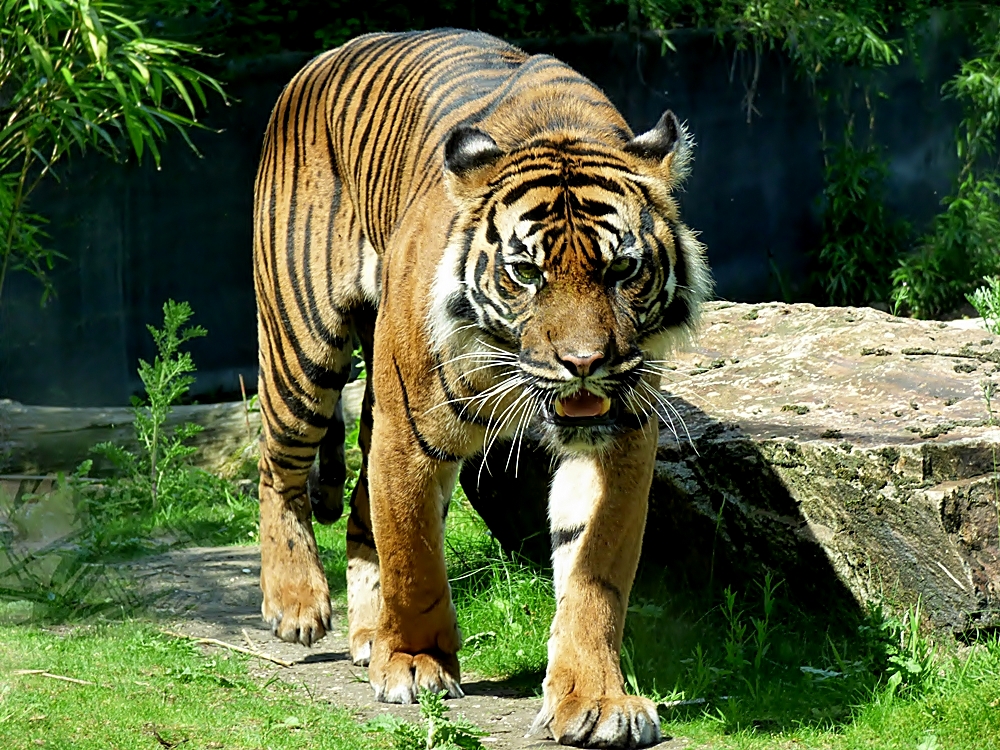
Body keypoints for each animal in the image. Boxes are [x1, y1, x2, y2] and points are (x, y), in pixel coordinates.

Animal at [254, 26, 716, 748]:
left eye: (622, 270)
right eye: (526, 272)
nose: (584, 362)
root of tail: (319, 61)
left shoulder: (618, 440)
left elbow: (594, 574)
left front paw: (597, 700)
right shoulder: (410, 434)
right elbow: (414, 554)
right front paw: (414, 665)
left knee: (358, 508)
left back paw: (367, 634)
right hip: (303, 345)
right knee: (277, 468)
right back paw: (297, 604)